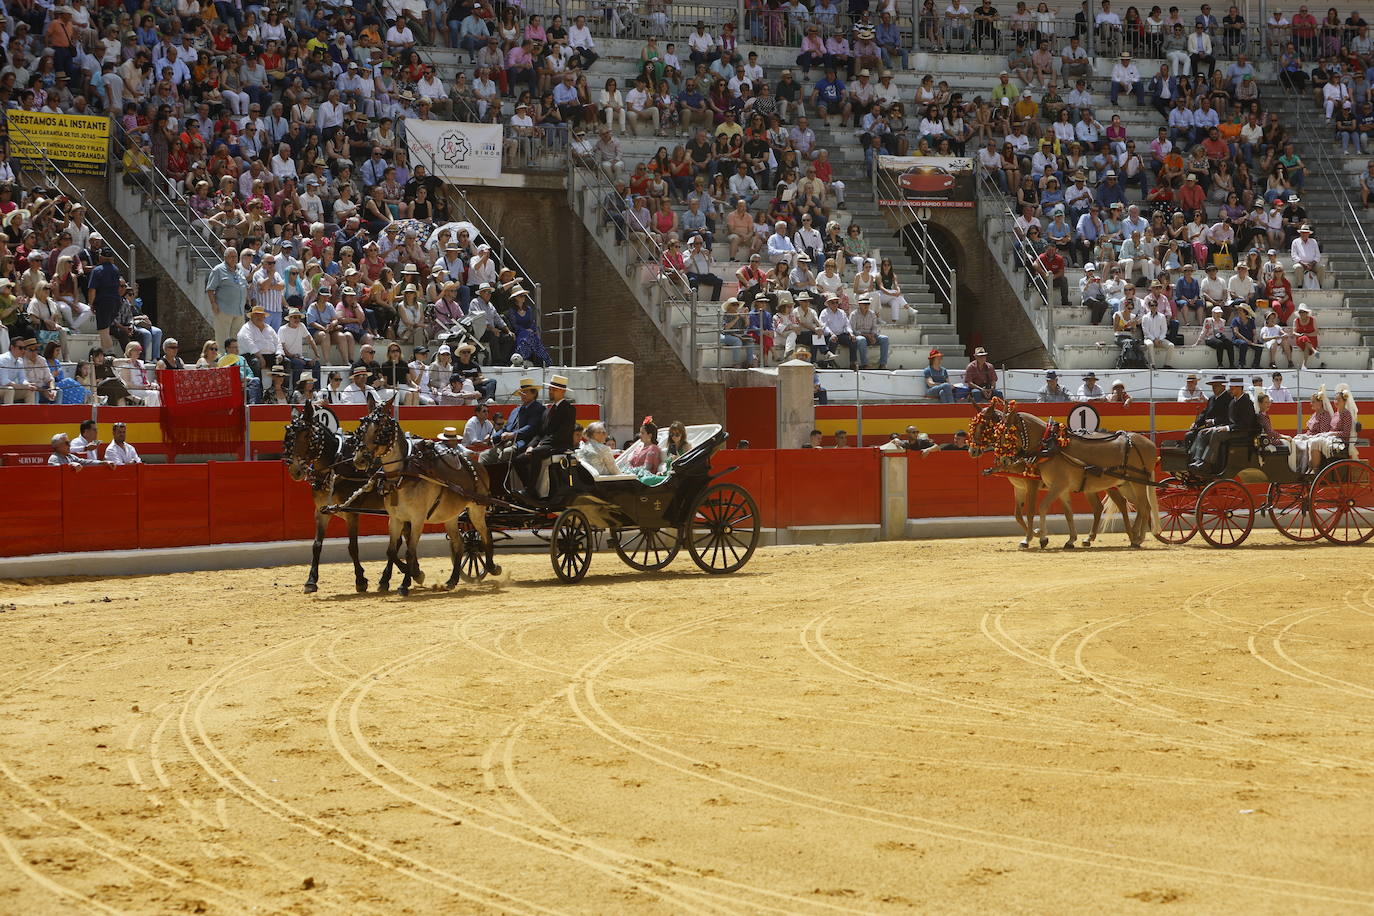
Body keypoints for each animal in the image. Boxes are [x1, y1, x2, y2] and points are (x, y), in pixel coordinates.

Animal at [281, 403, 395, 596]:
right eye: (288, 436)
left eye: (307, 434)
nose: (295, 471)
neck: (335, 468)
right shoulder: (321, 512)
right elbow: (316, 545)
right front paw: (311, 581)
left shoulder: (352, 514)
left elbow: (353, 547)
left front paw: (360, 580)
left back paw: (386, 579)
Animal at [346, 398, 497, 598]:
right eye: (361, 428)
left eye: (381, 429)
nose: (359, 459)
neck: (403, 474)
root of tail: (477, 464)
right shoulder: (395, 519)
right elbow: (391, 550)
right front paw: (395, 579)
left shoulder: (417, 519)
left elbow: (410, 552)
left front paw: (405, 584)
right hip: (450, 516)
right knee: (459, 545)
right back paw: (452, 580)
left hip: (476, 509)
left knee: (486, 535)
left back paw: (492, 567)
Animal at [972, 401, 1154, 543]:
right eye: (995, 430)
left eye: (986, 427)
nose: (972, 450)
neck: (1046, 446)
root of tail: (1144, 442)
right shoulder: (1021, 487)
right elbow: (1021, 514)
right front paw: (1047, 536)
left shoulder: (1037, 484)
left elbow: (1033, 511)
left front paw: (1033, 537)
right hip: (1118, 484)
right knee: (1120, 506)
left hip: (1130, 482)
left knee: (1137, 505)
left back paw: (1137, 536)